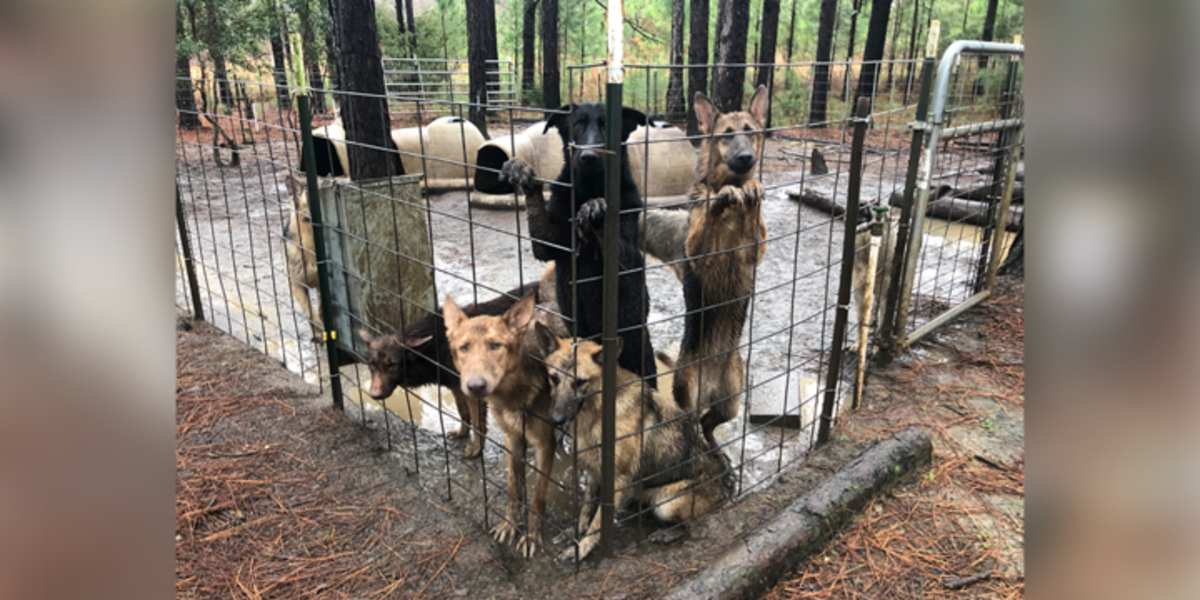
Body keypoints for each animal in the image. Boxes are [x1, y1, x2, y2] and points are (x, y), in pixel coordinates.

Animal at [355, 280, 540, 458]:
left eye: (392, 365)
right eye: (372, 364)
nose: (374, 395)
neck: (437, 346)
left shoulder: (475, 393)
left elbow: (477, 423)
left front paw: (476, 449)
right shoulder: (456, 387)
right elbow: (463, 413)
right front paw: (462, 433)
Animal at [441, 292, 552, 554]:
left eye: (495, 346)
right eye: (464, 348)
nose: (475, 386)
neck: (514, 395)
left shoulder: (544, 444)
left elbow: (538, 496)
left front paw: (532, 536)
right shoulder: (513, 438)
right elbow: (514, 487)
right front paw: (509, 525)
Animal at [501, 103, 662, 388]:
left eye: (607, 126)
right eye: (576, 125)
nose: (589, 157)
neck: (589, 186)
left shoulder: (626, 256)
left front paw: (596, 210)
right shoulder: (548, 243)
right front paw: (525, 175)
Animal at [537, 324, 729, 561]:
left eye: (580, 382)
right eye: (553, 378)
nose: (555, 419)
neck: (599, 411)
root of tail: (722, 489)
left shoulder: (617, 480)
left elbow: (598, 522)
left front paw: (581, 549)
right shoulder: (594, 473)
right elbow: (586, 509)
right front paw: (574, 533)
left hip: (665, 502)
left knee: (692, 525)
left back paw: (667, 534)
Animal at [676, 84, 768, 446]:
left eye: (750, 132)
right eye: (726, 135)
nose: (746, 159)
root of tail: (712, 385)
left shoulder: (753, 250)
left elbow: (753, 214)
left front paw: (751, 188)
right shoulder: (699, 252)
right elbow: (709, 216)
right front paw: (721, 196)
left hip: (731, 402)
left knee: (708, 426)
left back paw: (719, 453)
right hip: (687, 395)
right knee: (694, 427)